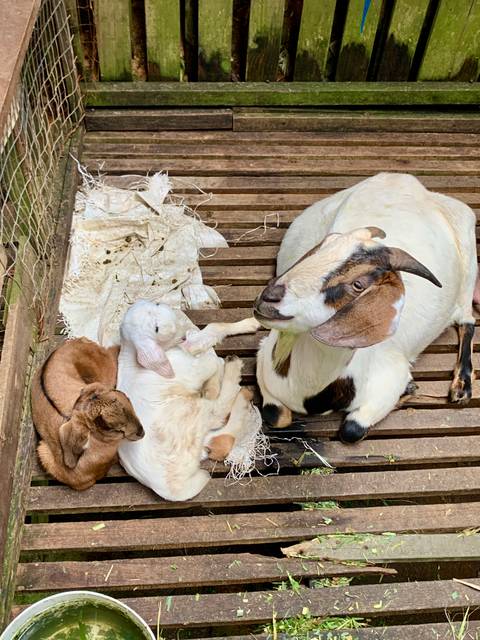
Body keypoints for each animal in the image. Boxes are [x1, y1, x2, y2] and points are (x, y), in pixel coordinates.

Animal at [117, 300, 258, 501]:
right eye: (156, 328)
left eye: (155, 304)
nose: (172, 312)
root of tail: (172, 489)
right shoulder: (196, 364)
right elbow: (212, 339)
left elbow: (213, 331)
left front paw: (251, 323)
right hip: (191, 413)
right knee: (219, 411)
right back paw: (235, 373)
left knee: (220, 439)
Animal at [254, 173, 478, 443]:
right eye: (318, 250)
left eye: (358, 284)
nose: (269, 298)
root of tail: (402, 179)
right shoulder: (265, 355)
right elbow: (276, 416)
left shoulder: (390, 377)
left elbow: (351, 430)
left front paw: (409, 389)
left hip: (468, 265)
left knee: (467, 321)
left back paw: (462, 386)